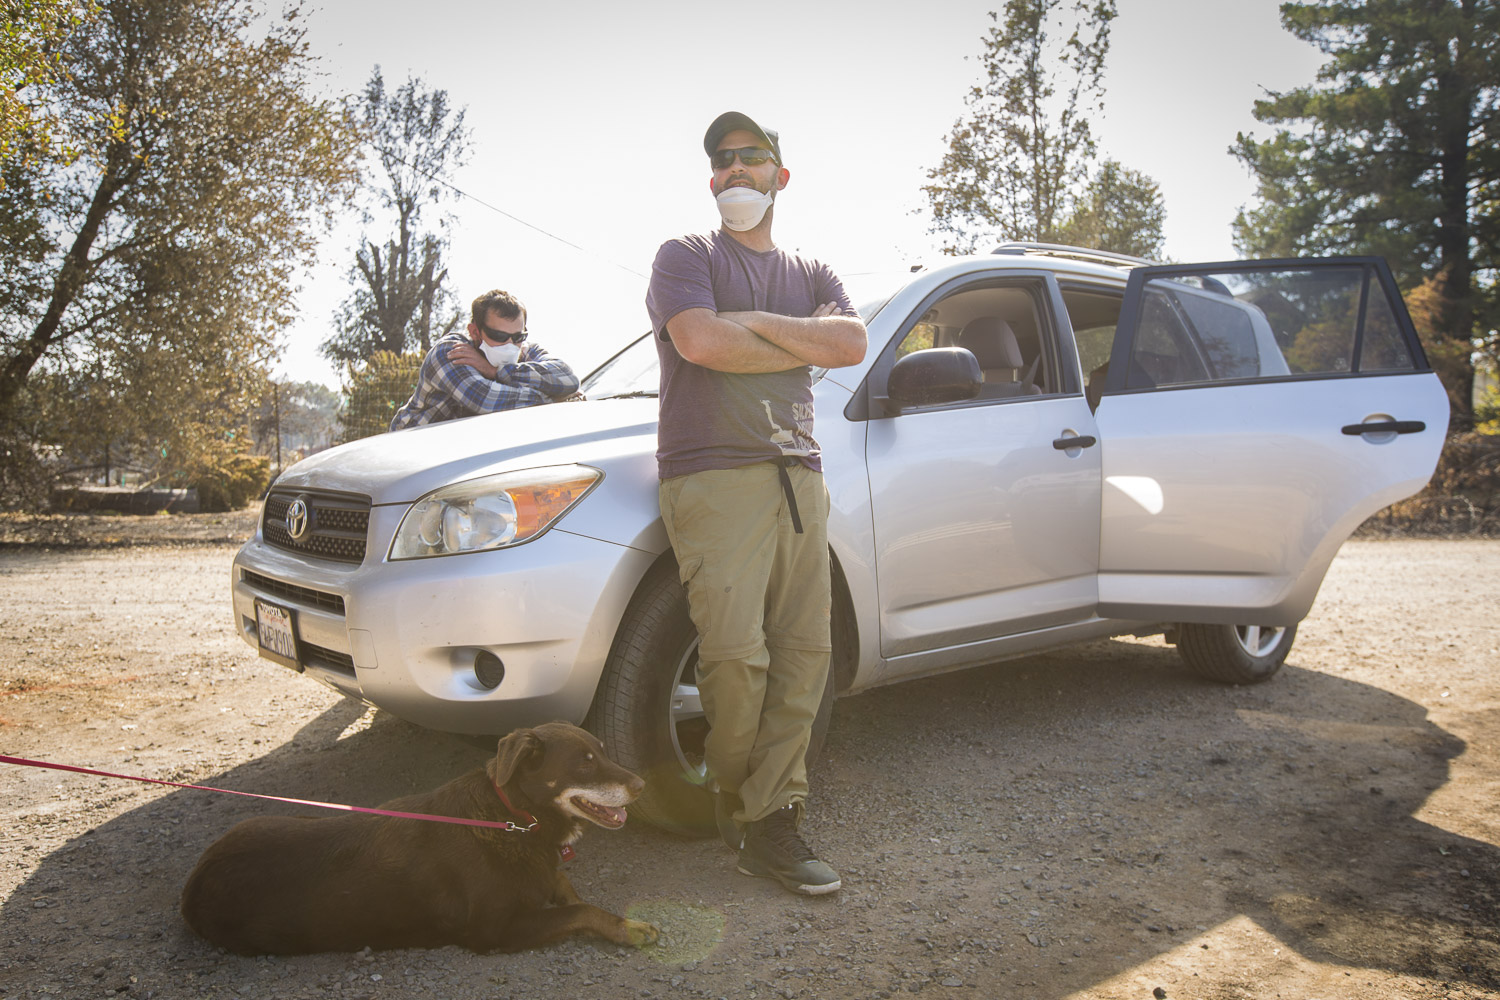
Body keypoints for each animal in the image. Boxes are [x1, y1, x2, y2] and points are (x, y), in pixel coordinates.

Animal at [177, 719, 657, 953]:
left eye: (602, 752)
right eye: (584, 763)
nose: (643, 785)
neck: (512, 817)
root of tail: (194, 883)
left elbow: (563, 885)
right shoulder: (494, 931)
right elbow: (582, 910)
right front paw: (626, 927)